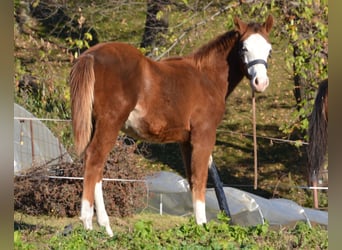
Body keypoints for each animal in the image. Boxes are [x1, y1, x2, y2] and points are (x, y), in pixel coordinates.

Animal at [71, 14, 274, 235]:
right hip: (110, 123)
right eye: (244, 47)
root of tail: (91, 55)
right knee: (94, 160)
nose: (260, 83)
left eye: (269, 49)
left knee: (95, 167)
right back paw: (88, 224)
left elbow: (192, 179)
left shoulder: (185, 141)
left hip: (96, 125)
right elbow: (200, 178)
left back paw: (106, 228)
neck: (206, 77)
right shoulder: (204, 135)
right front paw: (202, 227)